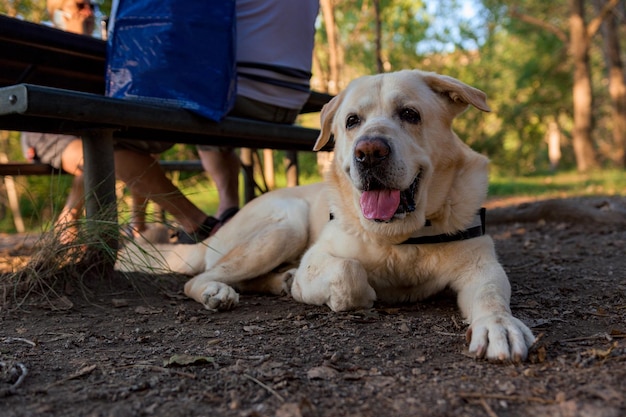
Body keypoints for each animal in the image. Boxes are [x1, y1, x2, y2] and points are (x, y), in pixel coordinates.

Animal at [118, 69, 536, 360]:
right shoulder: (318, 259)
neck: (400, 237)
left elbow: (490, 299)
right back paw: (219, 291)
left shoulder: (482, 268)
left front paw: (498, 327)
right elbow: (350, 275)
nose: (369, 152)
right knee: (200, 277)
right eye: (352, 121)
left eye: (410, 114)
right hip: (286, 224)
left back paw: (278, 282)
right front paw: (346, 296)